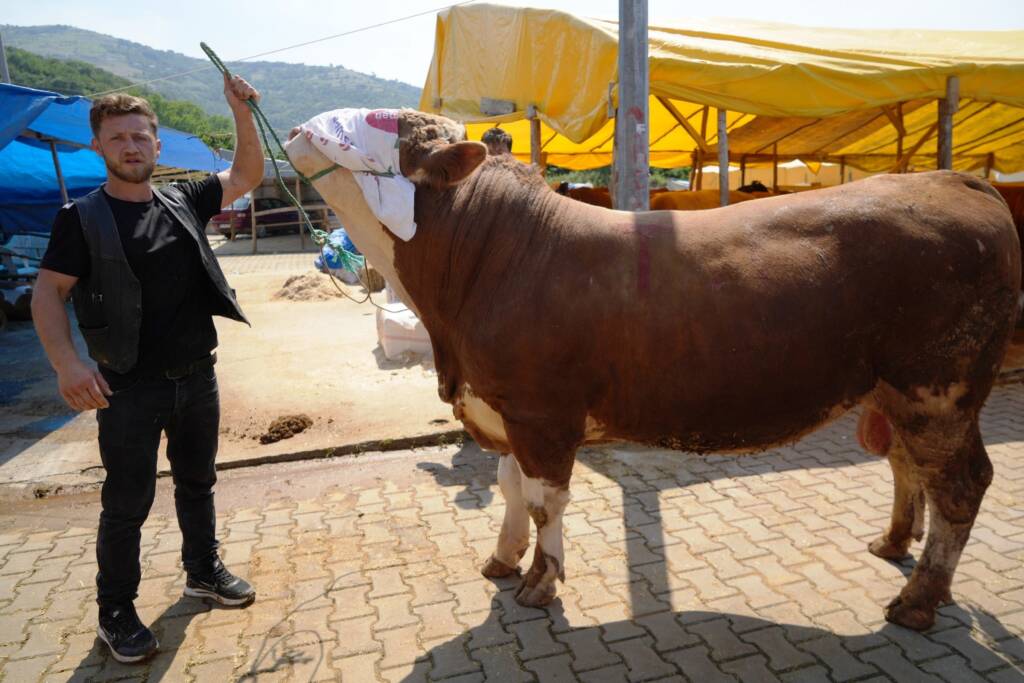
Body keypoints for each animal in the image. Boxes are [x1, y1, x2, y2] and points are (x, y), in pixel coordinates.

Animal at [286, 112, 1024, 630]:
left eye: (383, 124)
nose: (296, 128)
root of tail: (954, 179)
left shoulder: (542, 414)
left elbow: (545, 499)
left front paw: (539, 582)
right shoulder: (503, 407)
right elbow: (509, 488)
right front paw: (502, 557)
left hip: (939, 388)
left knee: (959, 484)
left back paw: (918, 600)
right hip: (900, 391)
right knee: (907, 464)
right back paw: (893, 543)